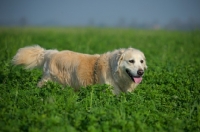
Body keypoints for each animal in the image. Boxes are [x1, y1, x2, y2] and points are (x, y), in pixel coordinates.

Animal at [12, 45, 147, 95]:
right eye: (131, 61)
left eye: (141, 61)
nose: (141, 72)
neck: (116, 73)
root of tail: (51, 53)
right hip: (50, 81)